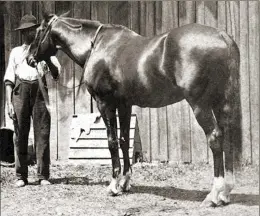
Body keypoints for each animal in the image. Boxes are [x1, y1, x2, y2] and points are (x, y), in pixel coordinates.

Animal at [27, 10, 241, 208]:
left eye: (38, 32)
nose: (30, 58)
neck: (96, 45)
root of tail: (222, 36)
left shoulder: (104, 103)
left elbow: (112, 142)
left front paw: (114, 185)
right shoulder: (125, 105)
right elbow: (124, 140)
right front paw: (125, 182)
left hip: (200, 104)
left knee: (214, 138)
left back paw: (213, 195)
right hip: (222, 103)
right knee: (228, 137)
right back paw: (225, 192)